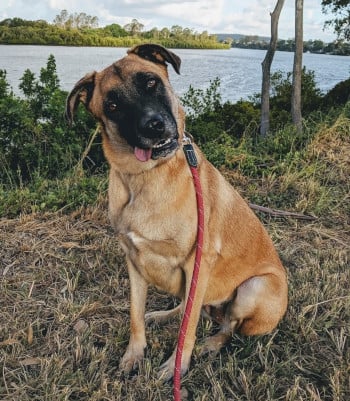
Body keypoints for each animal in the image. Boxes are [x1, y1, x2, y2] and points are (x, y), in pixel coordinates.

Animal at [65, 43, 288, 378]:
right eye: (113, 105)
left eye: (151, 83)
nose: (154, 125)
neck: (145, 177)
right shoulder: (134, 261)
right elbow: (136, 314)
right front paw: (134, 354)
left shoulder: (199, 260)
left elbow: (190, 327)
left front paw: (176, 365)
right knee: (188, 308)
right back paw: (162, 315)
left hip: (256, 286)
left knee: (228, 326)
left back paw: (211, 344)